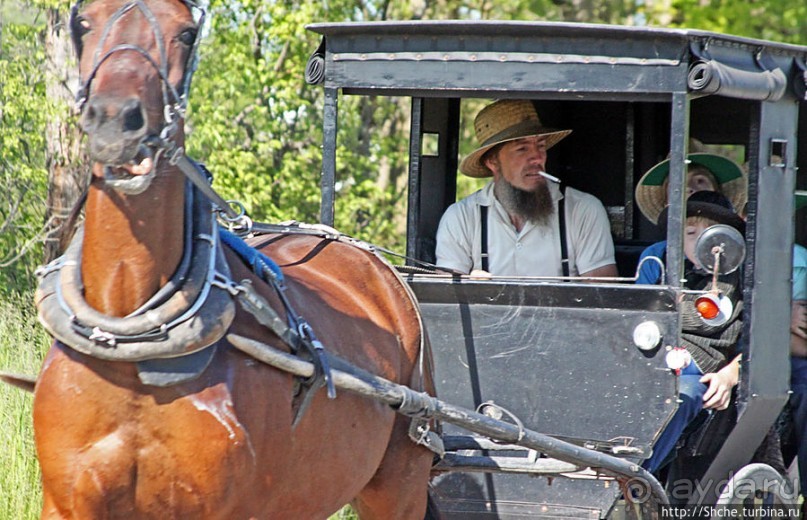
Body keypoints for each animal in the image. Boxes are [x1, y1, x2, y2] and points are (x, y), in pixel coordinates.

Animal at [33, 0, 436, 516]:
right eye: (83, 23)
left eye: (186, 33)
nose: (115, 121)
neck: (130, 342)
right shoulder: (67, 501)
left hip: (401, 482)